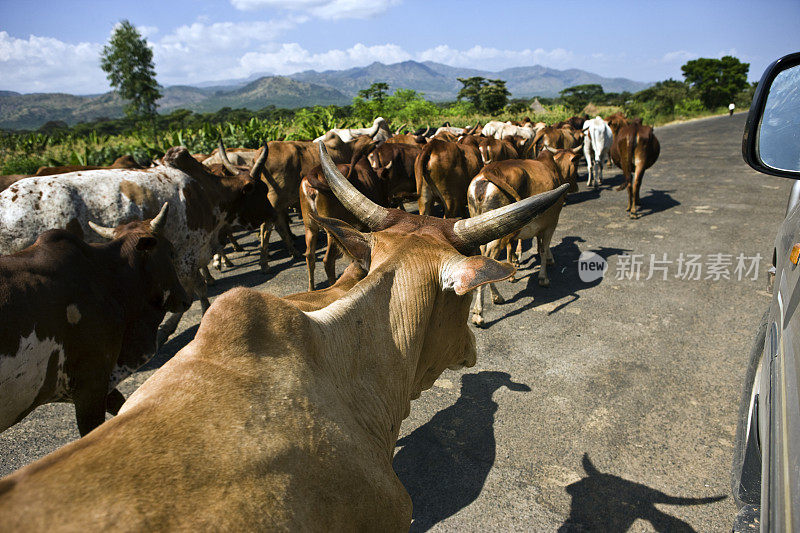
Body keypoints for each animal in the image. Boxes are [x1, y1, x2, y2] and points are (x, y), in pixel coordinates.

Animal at [0, 143, 276, 340]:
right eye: (259, 189)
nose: (273, 214)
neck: (204, 191)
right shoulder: (185, 253)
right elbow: (193, 290)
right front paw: (168, 328)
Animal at [462, 148, 580, 326]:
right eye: (575, 165)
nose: (576, 187)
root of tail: (488, 170)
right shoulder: (551, 223)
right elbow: (543, 248)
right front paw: (544, 277)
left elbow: (518, 247)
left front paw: (513, 272)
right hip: (498, 231)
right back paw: (479, 313)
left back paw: (495, 297)